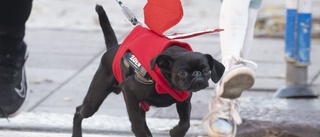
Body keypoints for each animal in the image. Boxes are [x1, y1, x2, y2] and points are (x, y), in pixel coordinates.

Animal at [72, 4, 225, 136]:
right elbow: (137, 124)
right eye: (182, 73)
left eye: (206, 71)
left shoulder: (184, 101)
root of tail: (112, 49)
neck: (166, 82)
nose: (197, 75)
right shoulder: (129, 92)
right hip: (95, 100)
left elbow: (185, 123)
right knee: (79, 112)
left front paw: (175, 132)